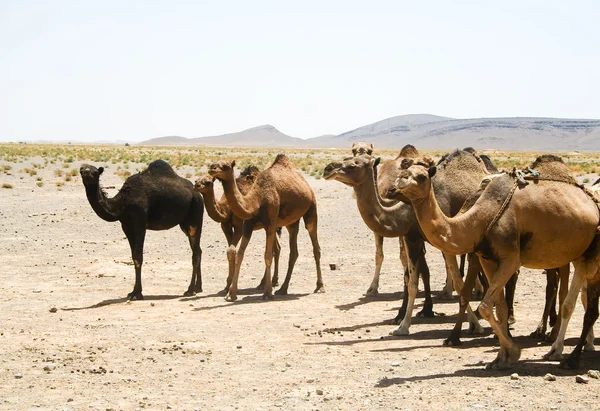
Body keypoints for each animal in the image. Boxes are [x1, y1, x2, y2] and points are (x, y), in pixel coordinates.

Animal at [79, 160, 204, 300]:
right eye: (81, 170)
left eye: (95, 172)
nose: (86, 173)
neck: (123, 203)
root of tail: (197, 194)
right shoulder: (126, 226)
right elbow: (133, 256)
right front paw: (133, 291)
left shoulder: (140, 223)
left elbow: (138, 257)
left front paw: (136, 293)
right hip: (186, 223)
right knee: (198, 250)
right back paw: (198, 287)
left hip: (195, 214)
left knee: (195, 252)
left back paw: (190, 289)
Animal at [195, 168, 284, 296]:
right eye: (197, 179)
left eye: (208, 182)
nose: (196, 185)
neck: (226, 208)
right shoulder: (225, 226)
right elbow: (230, 251)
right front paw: (227, 286)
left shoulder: (239, 226)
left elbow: (232, 251)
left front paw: (229, 285)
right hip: (269, 224)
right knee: (276, 248)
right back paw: (270, 282)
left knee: (273, 249)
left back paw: (267, 283)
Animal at [209, 154, 326, 302]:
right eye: (215, 163)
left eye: (226, 166)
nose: (212, 168)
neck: (256, 199)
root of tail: (307, 185)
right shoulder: (248, 225)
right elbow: (239, 254)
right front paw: (231, 294)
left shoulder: (270, 223)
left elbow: (268, 255)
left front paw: (267, 293)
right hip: (291, 222)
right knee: (293, 251)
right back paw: (283, 289)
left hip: (312, 208)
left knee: (315, 244)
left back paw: (319, 286)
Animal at [322, 152, 486, 338]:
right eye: (347, 158)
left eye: (353, 165)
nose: (328, 169)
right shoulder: (411, 238)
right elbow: (412, 279)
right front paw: (404, 320)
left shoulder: (442, 239)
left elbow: (457, 282)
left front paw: (474, 324)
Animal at [394, 154, 600, 370]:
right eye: (404, 172)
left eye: (422, 177)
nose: (398, 183)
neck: (480, 218)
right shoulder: (488, 259)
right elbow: (500, 308)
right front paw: (501, 358)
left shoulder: (511, 258)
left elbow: (485, 307)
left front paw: (514, 352)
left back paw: (562, 349)